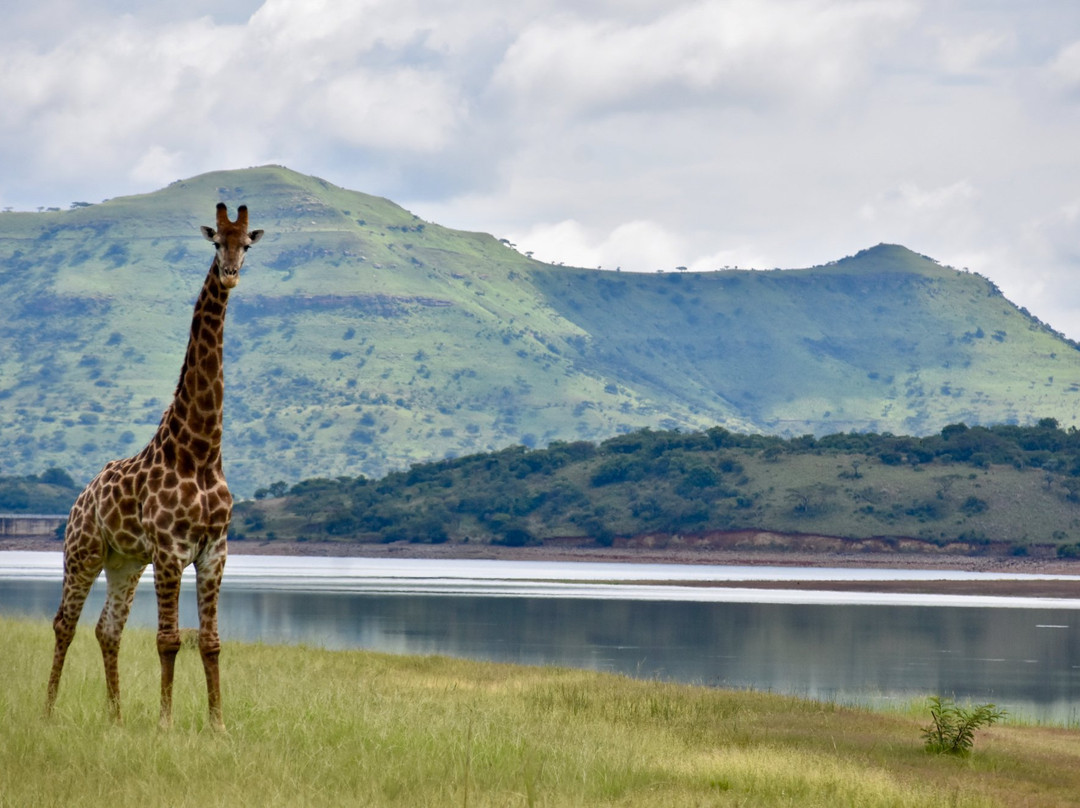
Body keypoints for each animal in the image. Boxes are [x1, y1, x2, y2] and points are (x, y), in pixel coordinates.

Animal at [43, 203, 263, 730]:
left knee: (107, 629)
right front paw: (165, 724)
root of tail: (81, 495)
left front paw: (217, 725)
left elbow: (211, 642)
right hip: (82, 551)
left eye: (246, 243)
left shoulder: (214, 551)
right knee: (65, 623)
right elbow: (169, 640)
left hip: (124, 562)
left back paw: (117, 718)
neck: (200, 451)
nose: (230, 274)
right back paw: (49, 710)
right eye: (216, 242)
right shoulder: (169, 550)